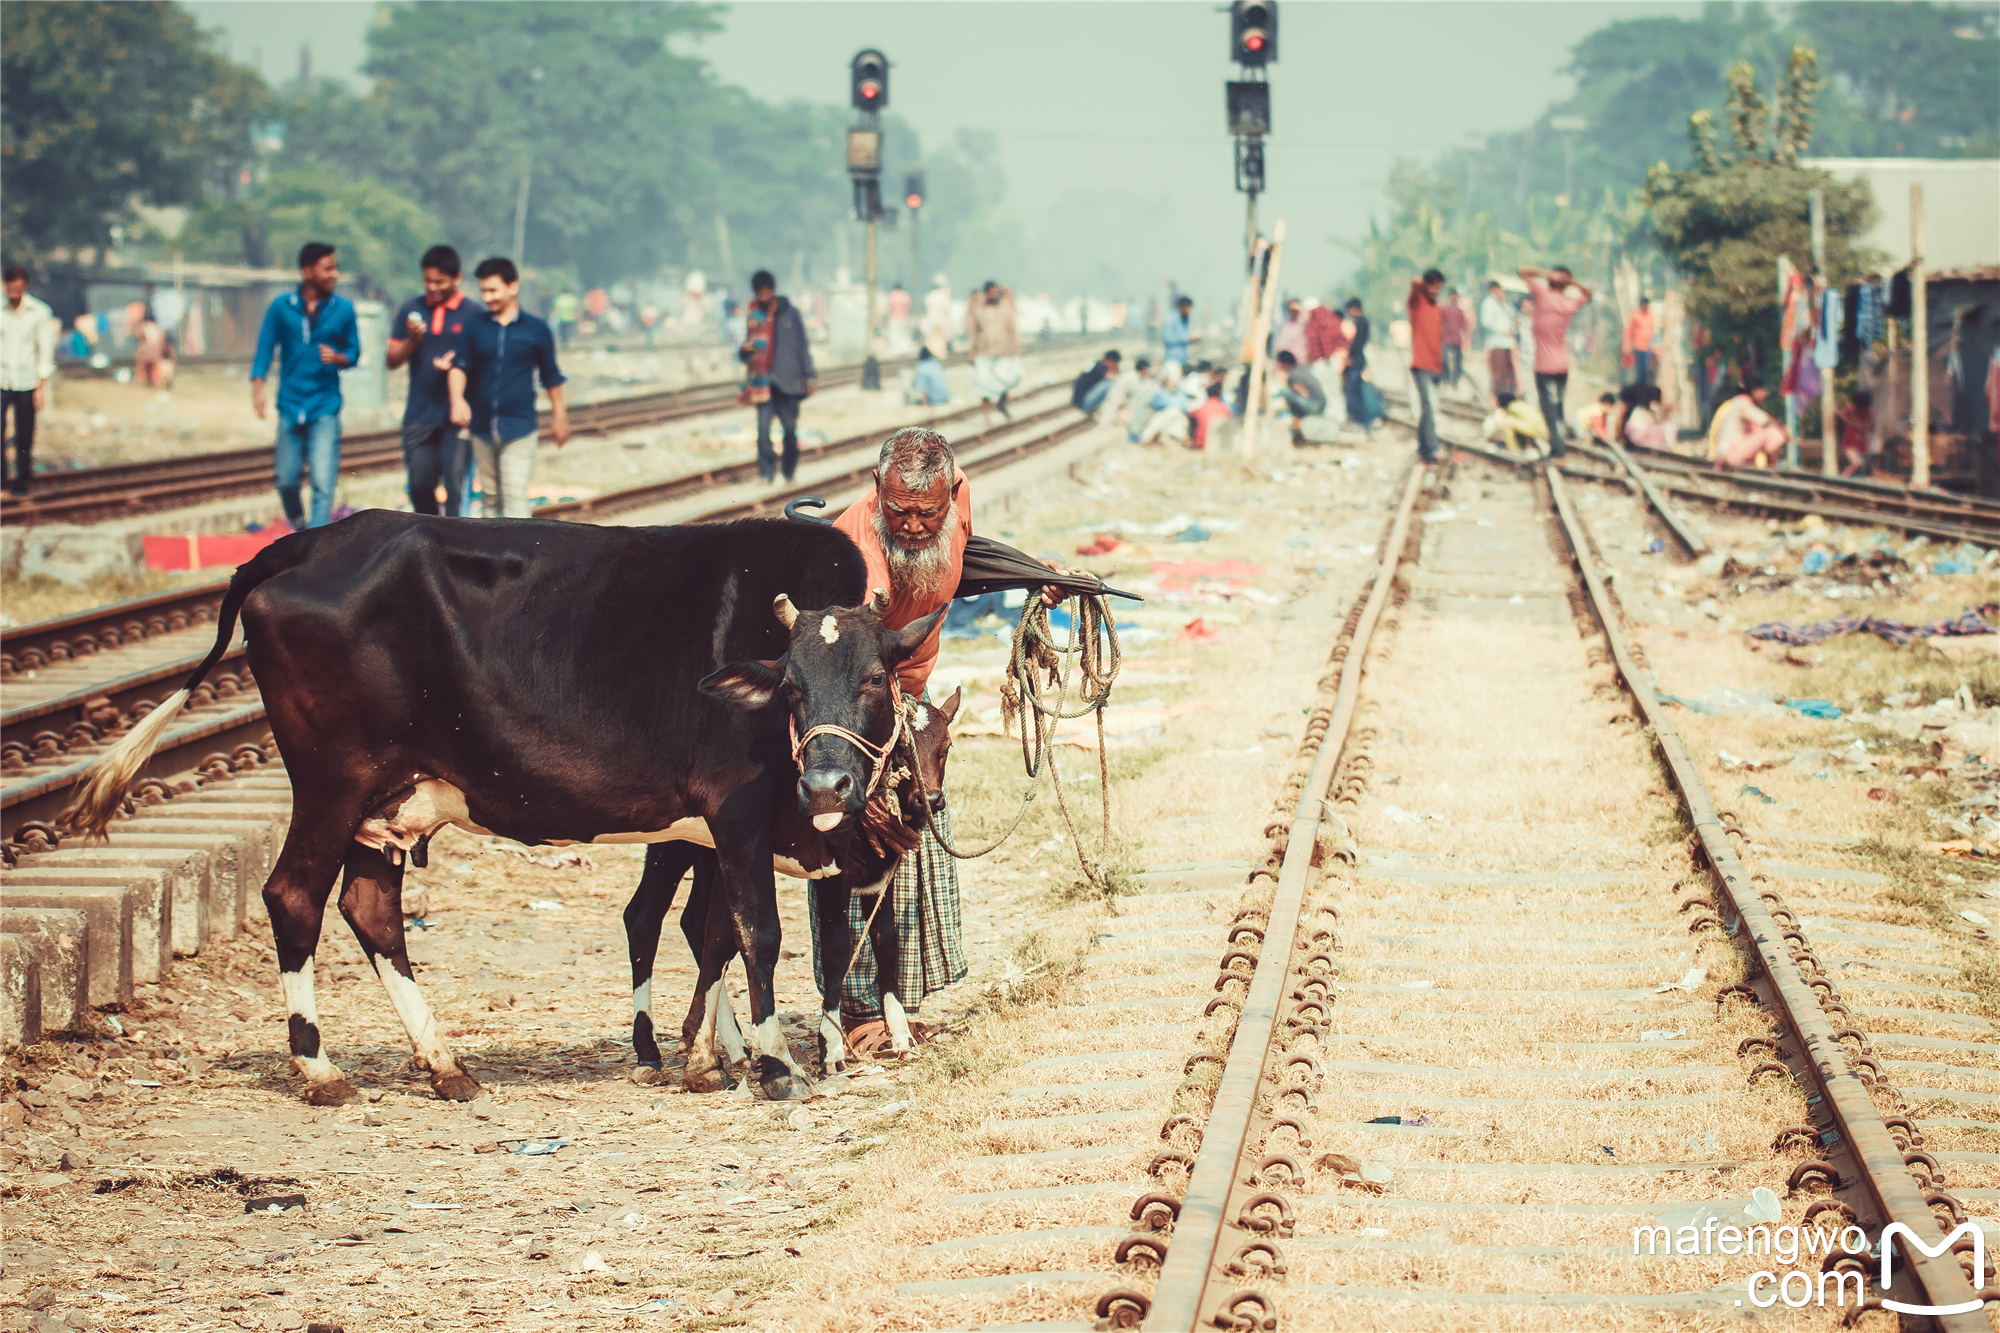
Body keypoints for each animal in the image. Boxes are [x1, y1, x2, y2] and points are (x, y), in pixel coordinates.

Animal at [628, 684, 964, 1080]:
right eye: (901, 753)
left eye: (946, 746)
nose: (931, 799)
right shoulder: (831, 876)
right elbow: (836, 950)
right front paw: (831, 1048)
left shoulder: (882, 877)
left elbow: (887, 943)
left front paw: (901, 1038)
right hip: (673, 844)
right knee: (644, 917)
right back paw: (651, 1050)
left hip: (712, 855)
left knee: (699, 925)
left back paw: (723, 1045)